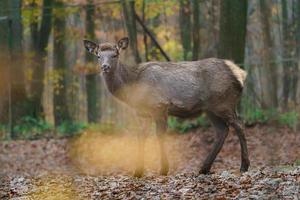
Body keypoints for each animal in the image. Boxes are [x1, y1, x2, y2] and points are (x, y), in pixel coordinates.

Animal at [83, 37, 250, 177]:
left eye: (115, 54)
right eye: (98, 56)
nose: (105, 67)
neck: (133, 89)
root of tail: (240, 73)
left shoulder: (159, 106)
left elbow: (160, 135)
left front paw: (163, 169)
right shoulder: (141, 113)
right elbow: (141, 137)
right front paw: (138, 171)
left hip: (224, 103)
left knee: (239, 125)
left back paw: (244, 166)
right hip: (211, 109)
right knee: (222, 130)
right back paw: (204, 168)